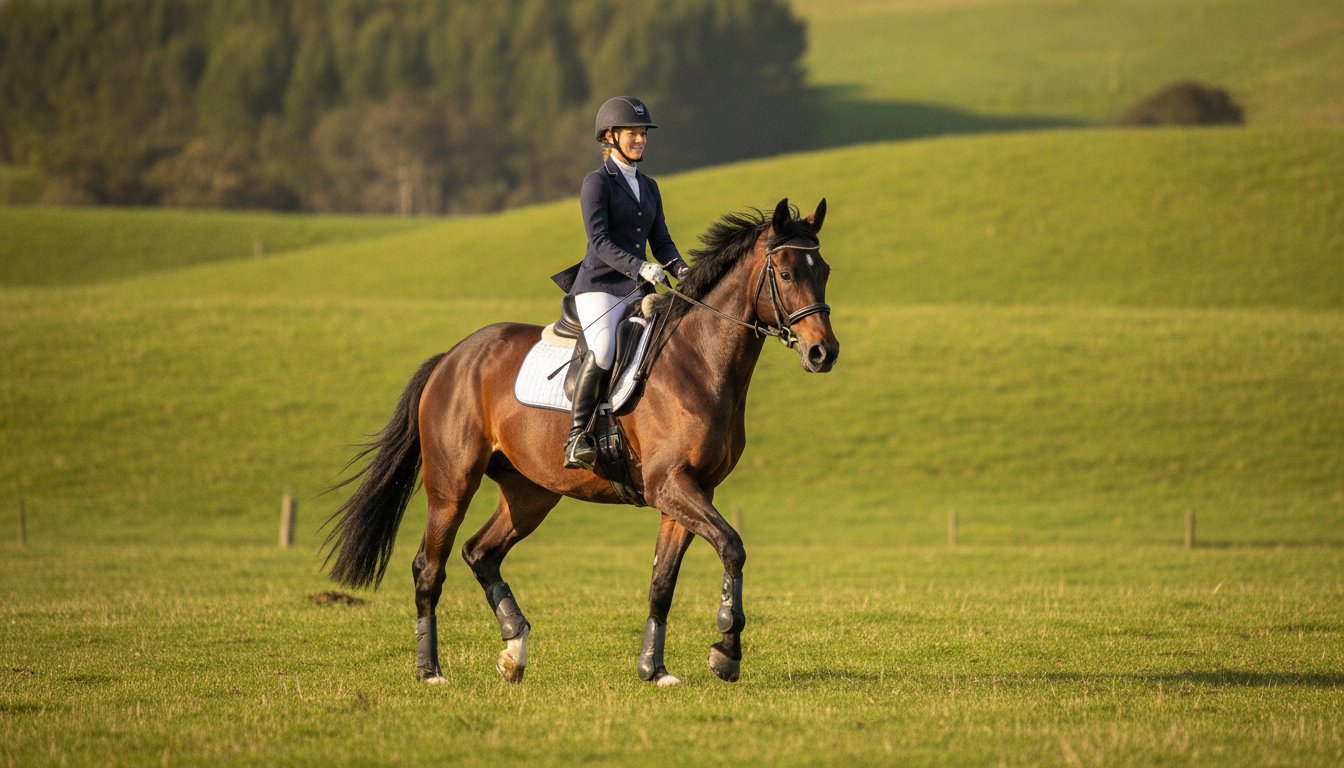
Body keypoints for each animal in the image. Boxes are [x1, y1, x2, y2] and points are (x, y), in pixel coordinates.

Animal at [323, 198, 839, 685]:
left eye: (825, 272)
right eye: (787, 273)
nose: (824, 353)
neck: (699, 361)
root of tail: (452, 358)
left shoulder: (692, 491)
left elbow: (662, 582)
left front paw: (654, 669)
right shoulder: (670, 486)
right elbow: (733, 546)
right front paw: (726, 652)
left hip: (530, 493)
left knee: (480, 553)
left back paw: (514, 650)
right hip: (452, 486)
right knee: (429, 567)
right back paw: (430, 670)